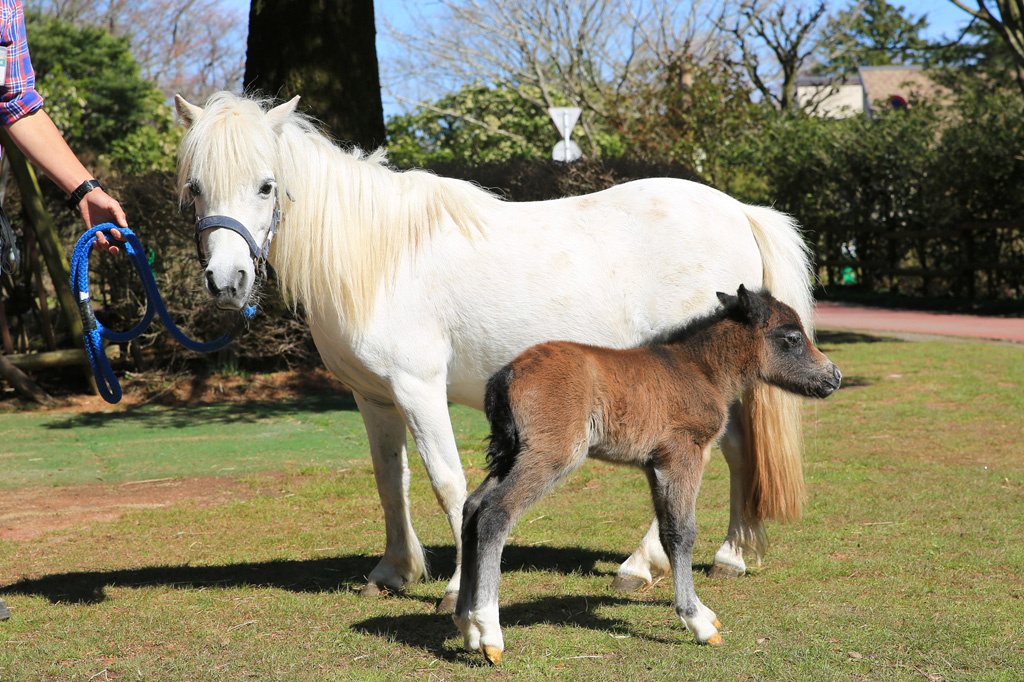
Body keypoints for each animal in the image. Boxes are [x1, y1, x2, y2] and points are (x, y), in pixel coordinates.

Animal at [174, 91, 815, 610]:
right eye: (195, 188)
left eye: (266, 185)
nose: (226, 281)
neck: (378, 255)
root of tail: (739, 210)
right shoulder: (373, 398)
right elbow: (389, 479)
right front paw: (393, 571)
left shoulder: (419, 389)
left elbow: (449, 483)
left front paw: (459, 587)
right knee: (735, 450)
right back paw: (718, 555)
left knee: (719, 452)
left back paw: (658, 563)